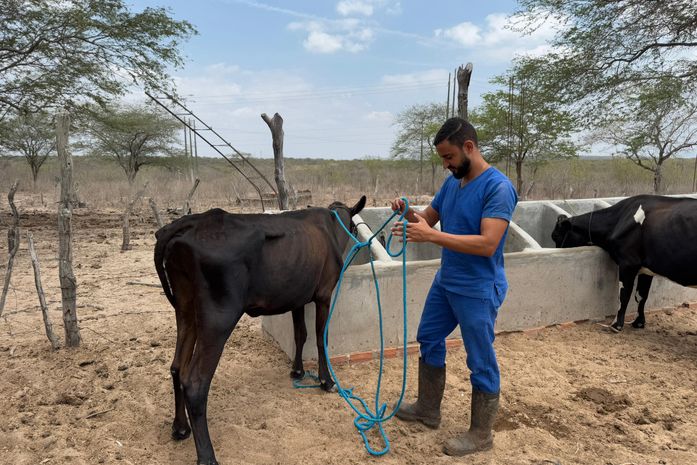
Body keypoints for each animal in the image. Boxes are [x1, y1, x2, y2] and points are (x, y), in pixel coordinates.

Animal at [153, 194, 368, 462]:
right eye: (355, 227)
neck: (330, 229)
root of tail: (188, 222)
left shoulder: (297, 297)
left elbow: (300, 334)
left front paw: (297, 371)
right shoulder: (324, 294)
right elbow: (320, 338)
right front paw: (326, 381)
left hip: (185, 308)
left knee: (177, 368)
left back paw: (181, 428)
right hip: (218, 317)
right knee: (195, 383)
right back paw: (207, 455)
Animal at [548, 194, 696, 332]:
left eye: (555, 236)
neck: (619, 220)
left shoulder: (628, 263)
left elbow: (624, 294)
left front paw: (616, 325)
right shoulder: (646, 268)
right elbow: (641, 295)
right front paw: (638, 322)